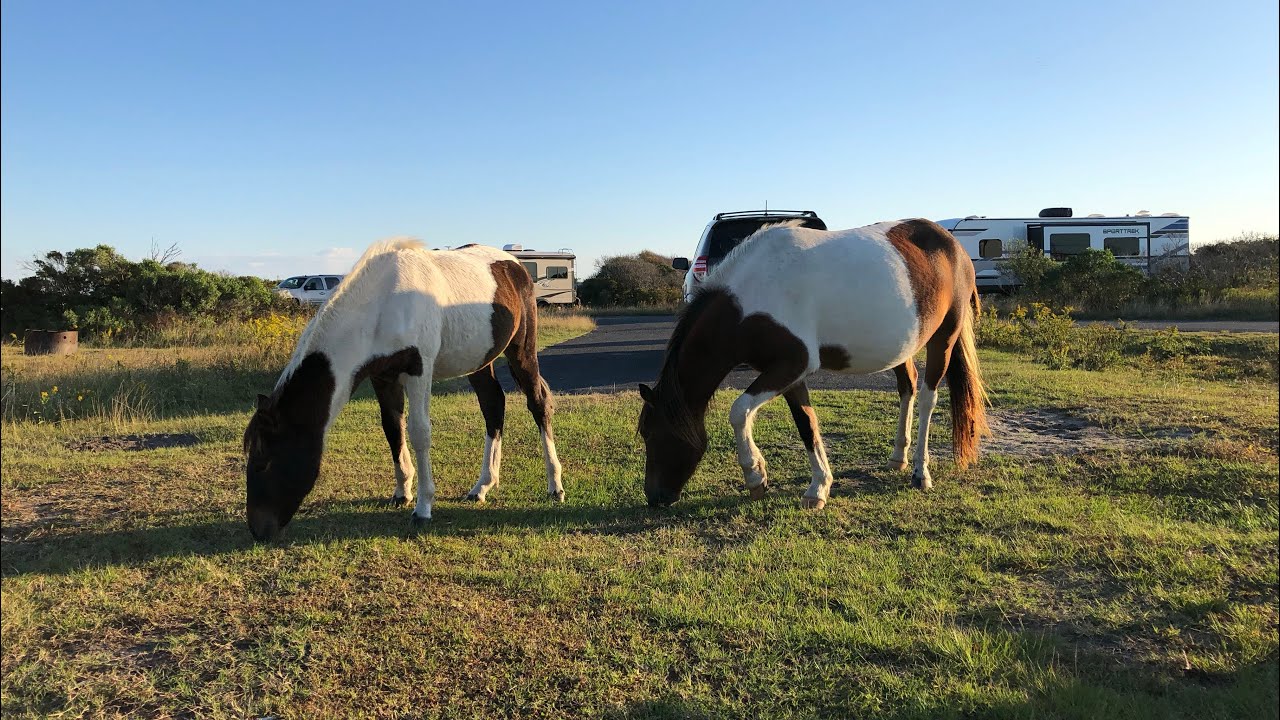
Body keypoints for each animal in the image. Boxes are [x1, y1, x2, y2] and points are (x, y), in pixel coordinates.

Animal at [243, 239, 563, 541]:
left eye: (263, 462)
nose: (258, 530)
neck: (385, 304)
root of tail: (515, 266)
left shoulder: (418, 370)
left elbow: (419, 432)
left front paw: (423, 507)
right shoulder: (383, 378)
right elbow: (392, 429)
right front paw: (402, 491)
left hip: (521, 350)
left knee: (538, 403)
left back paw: (555, 485)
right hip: (480, 361)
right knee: (493, 405)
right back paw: (482, 486)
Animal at [638, 218, 988, 508]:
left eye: (651, 435)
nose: (655, 498)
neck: (748, 299)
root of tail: (952, 244)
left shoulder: (792, 365)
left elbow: (739, 411)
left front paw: (755, 475)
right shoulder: (789, 374)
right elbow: (806, 423)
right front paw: (818, 487)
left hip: (944, 336)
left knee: (929, 397)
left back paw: (920, 472)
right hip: (903, 347)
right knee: (908, 387)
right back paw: (897, 456)